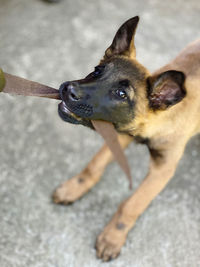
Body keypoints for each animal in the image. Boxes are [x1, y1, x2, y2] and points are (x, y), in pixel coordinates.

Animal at [52, 16, 200, 262]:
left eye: (121, 94)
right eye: (97, 71)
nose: (68, 89)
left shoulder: (163, 168)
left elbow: (132, 204)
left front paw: (112, 237)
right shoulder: (118, 134)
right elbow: (94, 166)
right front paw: (74, 188)